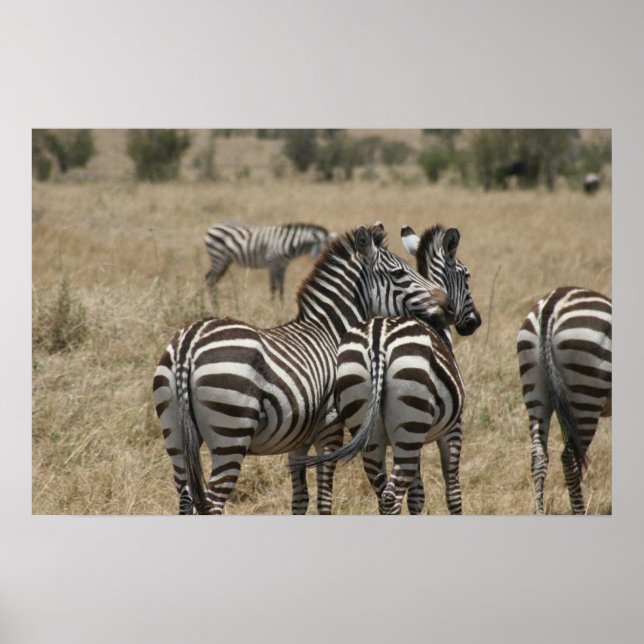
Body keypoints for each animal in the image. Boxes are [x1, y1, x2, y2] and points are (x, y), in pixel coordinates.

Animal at [204, 222, 333, 300]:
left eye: (328, 247)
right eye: (320, 247)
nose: (321, 260)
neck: (288, 244)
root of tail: (212, 227)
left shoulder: (282, 266)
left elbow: (281, 287)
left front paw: (281, 306)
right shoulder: (272, 264)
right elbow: (273, 287)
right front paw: (273, 305)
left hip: (226, 260)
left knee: (214, 280)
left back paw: (216, 302)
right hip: (218, 257)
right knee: (209, 278)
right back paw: (215, 304)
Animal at [298, 224, 481, 515]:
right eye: (466, 275)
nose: (474, 322)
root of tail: (377, 343)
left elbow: (417, 493)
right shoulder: (453, 429)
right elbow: (452, 490)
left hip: (371, 428)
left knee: (383, 493)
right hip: (409, 424)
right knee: (391, 495)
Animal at [516, 286, 612, 514]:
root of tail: (552, 304)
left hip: (535, 389)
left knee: (538, 457)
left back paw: (539, 513)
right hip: (586, 395)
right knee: (569, 459)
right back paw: (580, 512)